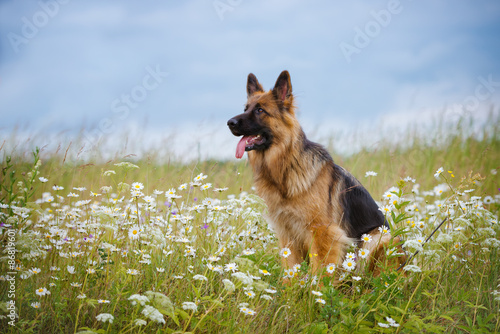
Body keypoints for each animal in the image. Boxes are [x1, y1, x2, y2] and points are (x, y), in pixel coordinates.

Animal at [228, 71, 402, 276]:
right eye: (246, 108)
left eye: (260, 110)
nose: (229, 123)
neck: (286, 167)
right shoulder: (287, 234)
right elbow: (290, 271)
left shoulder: (323, 232)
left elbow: (320, 272)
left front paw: (317, 285)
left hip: (376, 238)